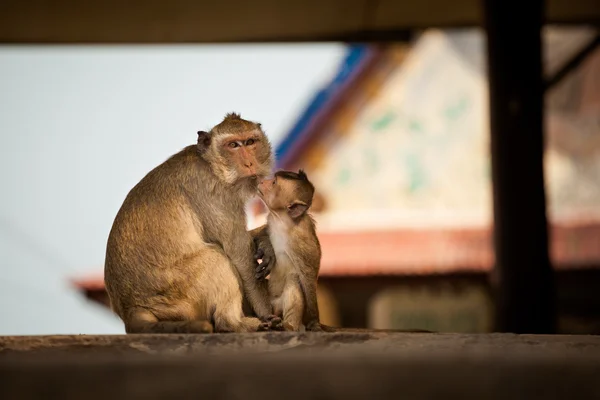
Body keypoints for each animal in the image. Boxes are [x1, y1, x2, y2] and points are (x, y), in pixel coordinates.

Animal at [104, 112, 280, 334]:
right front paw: (268, 312)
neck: (211, 165)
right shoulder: (214, 192)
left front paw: (265, 241)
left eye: (250, 142)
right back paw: (234, 323)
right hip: (178, 293)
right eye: (233, 145)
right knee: (215, 257)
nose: (249, 163)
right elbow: (238, 252)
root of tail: (131, 309)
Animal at [256, 169, 324, 332]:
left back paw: (287, 326)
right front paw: (266, 249)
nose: (262, 181)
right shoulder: (271, 222)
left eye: (274, 182)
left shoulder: (300, 238)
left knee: (293, 279)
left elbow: (308, 274)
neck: (281, 220)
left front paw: (314, 322)